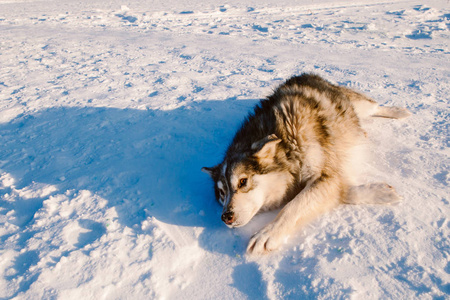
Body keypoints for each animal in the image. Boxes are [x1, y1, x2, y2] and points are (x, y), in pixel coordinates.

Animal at [202, 74, 410, 254]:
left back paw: (399, 112)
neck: (287, 144)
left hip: (359, 106)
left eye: (243, 182)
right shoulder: (329, 177)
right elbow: (342, 190)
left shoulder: (324, 174)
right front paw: (378, 192)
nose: (225, 217)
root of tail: (306, 75)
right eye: (222, 193)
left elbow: (294, 205)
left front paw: (267, 233)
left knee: (375, 107)